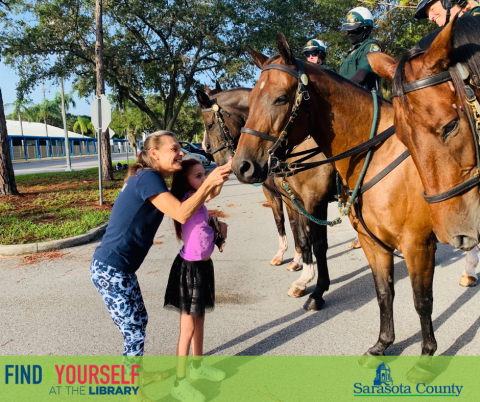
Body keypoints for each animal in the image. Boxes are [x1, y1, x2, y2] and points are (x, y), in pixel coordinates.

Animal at [195, 85, 338, 310]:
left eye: (209, 125)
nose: (217, 159)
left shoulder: (313, 201)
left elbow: (316, 242)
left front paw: (315, 288)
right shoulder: (291, 199)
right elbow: (299, 233)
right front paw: (302, 276)